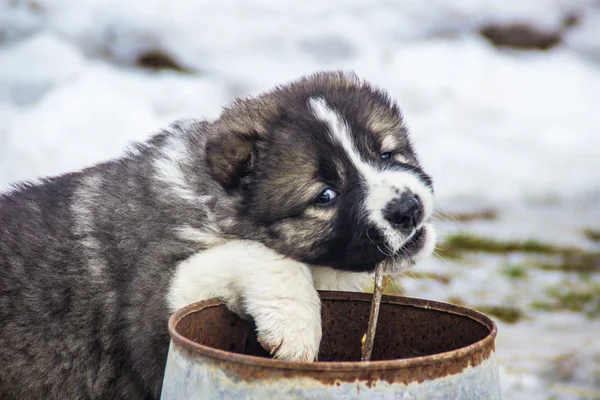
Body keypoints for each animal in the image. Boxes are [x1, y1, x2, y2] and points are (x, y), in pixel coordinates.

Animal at [0, 70, 434, 398]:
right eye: (325, 195)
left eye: (387, 153)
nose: (408, 209)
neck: (213, 202)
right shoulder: (150, 321)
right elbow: (253, 254)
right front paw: (296, 326)